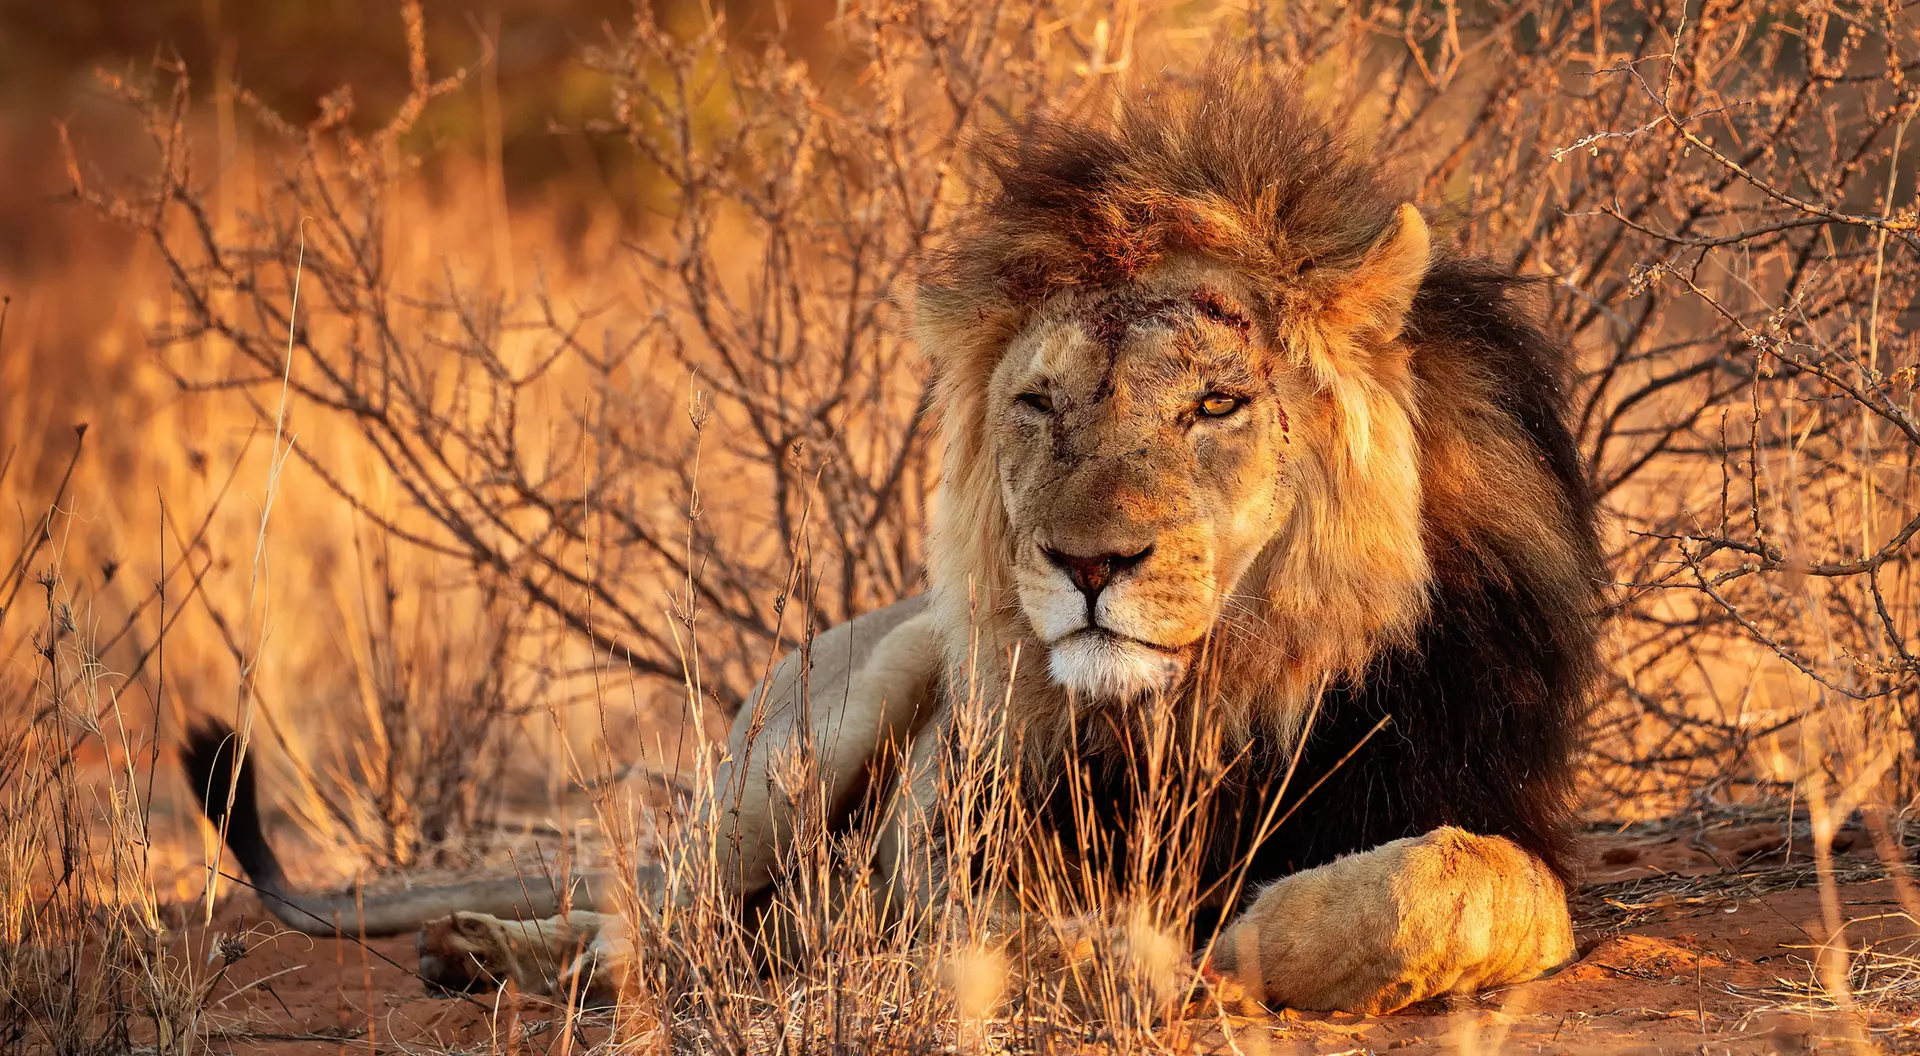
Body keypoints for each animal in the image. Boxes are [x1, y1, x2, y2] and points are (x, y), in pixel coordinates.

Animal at [181, 70, 1602, 1016]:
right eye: (1040, 405)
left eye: (1215, 406)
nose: (1089, 568)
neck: (1225, 699)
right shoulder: (960, 850)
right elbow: (1017, 935)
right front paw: (1155, 957)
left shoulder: (1484, 801)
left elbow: (1470, 888)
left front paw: (1261, 931)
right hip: (824, 724)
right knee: (662, 918)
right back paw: (504, 950)